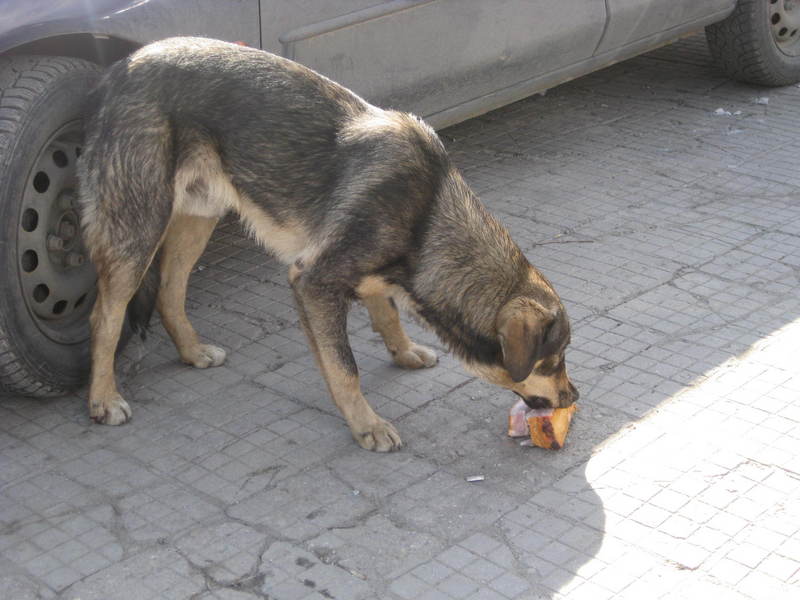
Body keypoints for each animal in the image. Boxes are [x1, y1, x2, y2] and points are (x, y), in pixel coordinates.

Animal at [78, 36, 580, 450]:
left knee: (169, 291)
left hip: (197, 217)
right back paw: (103, 399)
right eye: (553, 361)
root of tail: (118, 70)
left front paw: (403, 352)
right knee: (106, 316)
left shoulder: (369, 276)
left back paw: (191, 351)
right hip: (139, 226)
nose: (574, 395)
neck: (427, 214)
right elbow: (344, 367)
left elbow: (386, 313)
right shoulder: (313, 282)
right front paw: (366, 424)